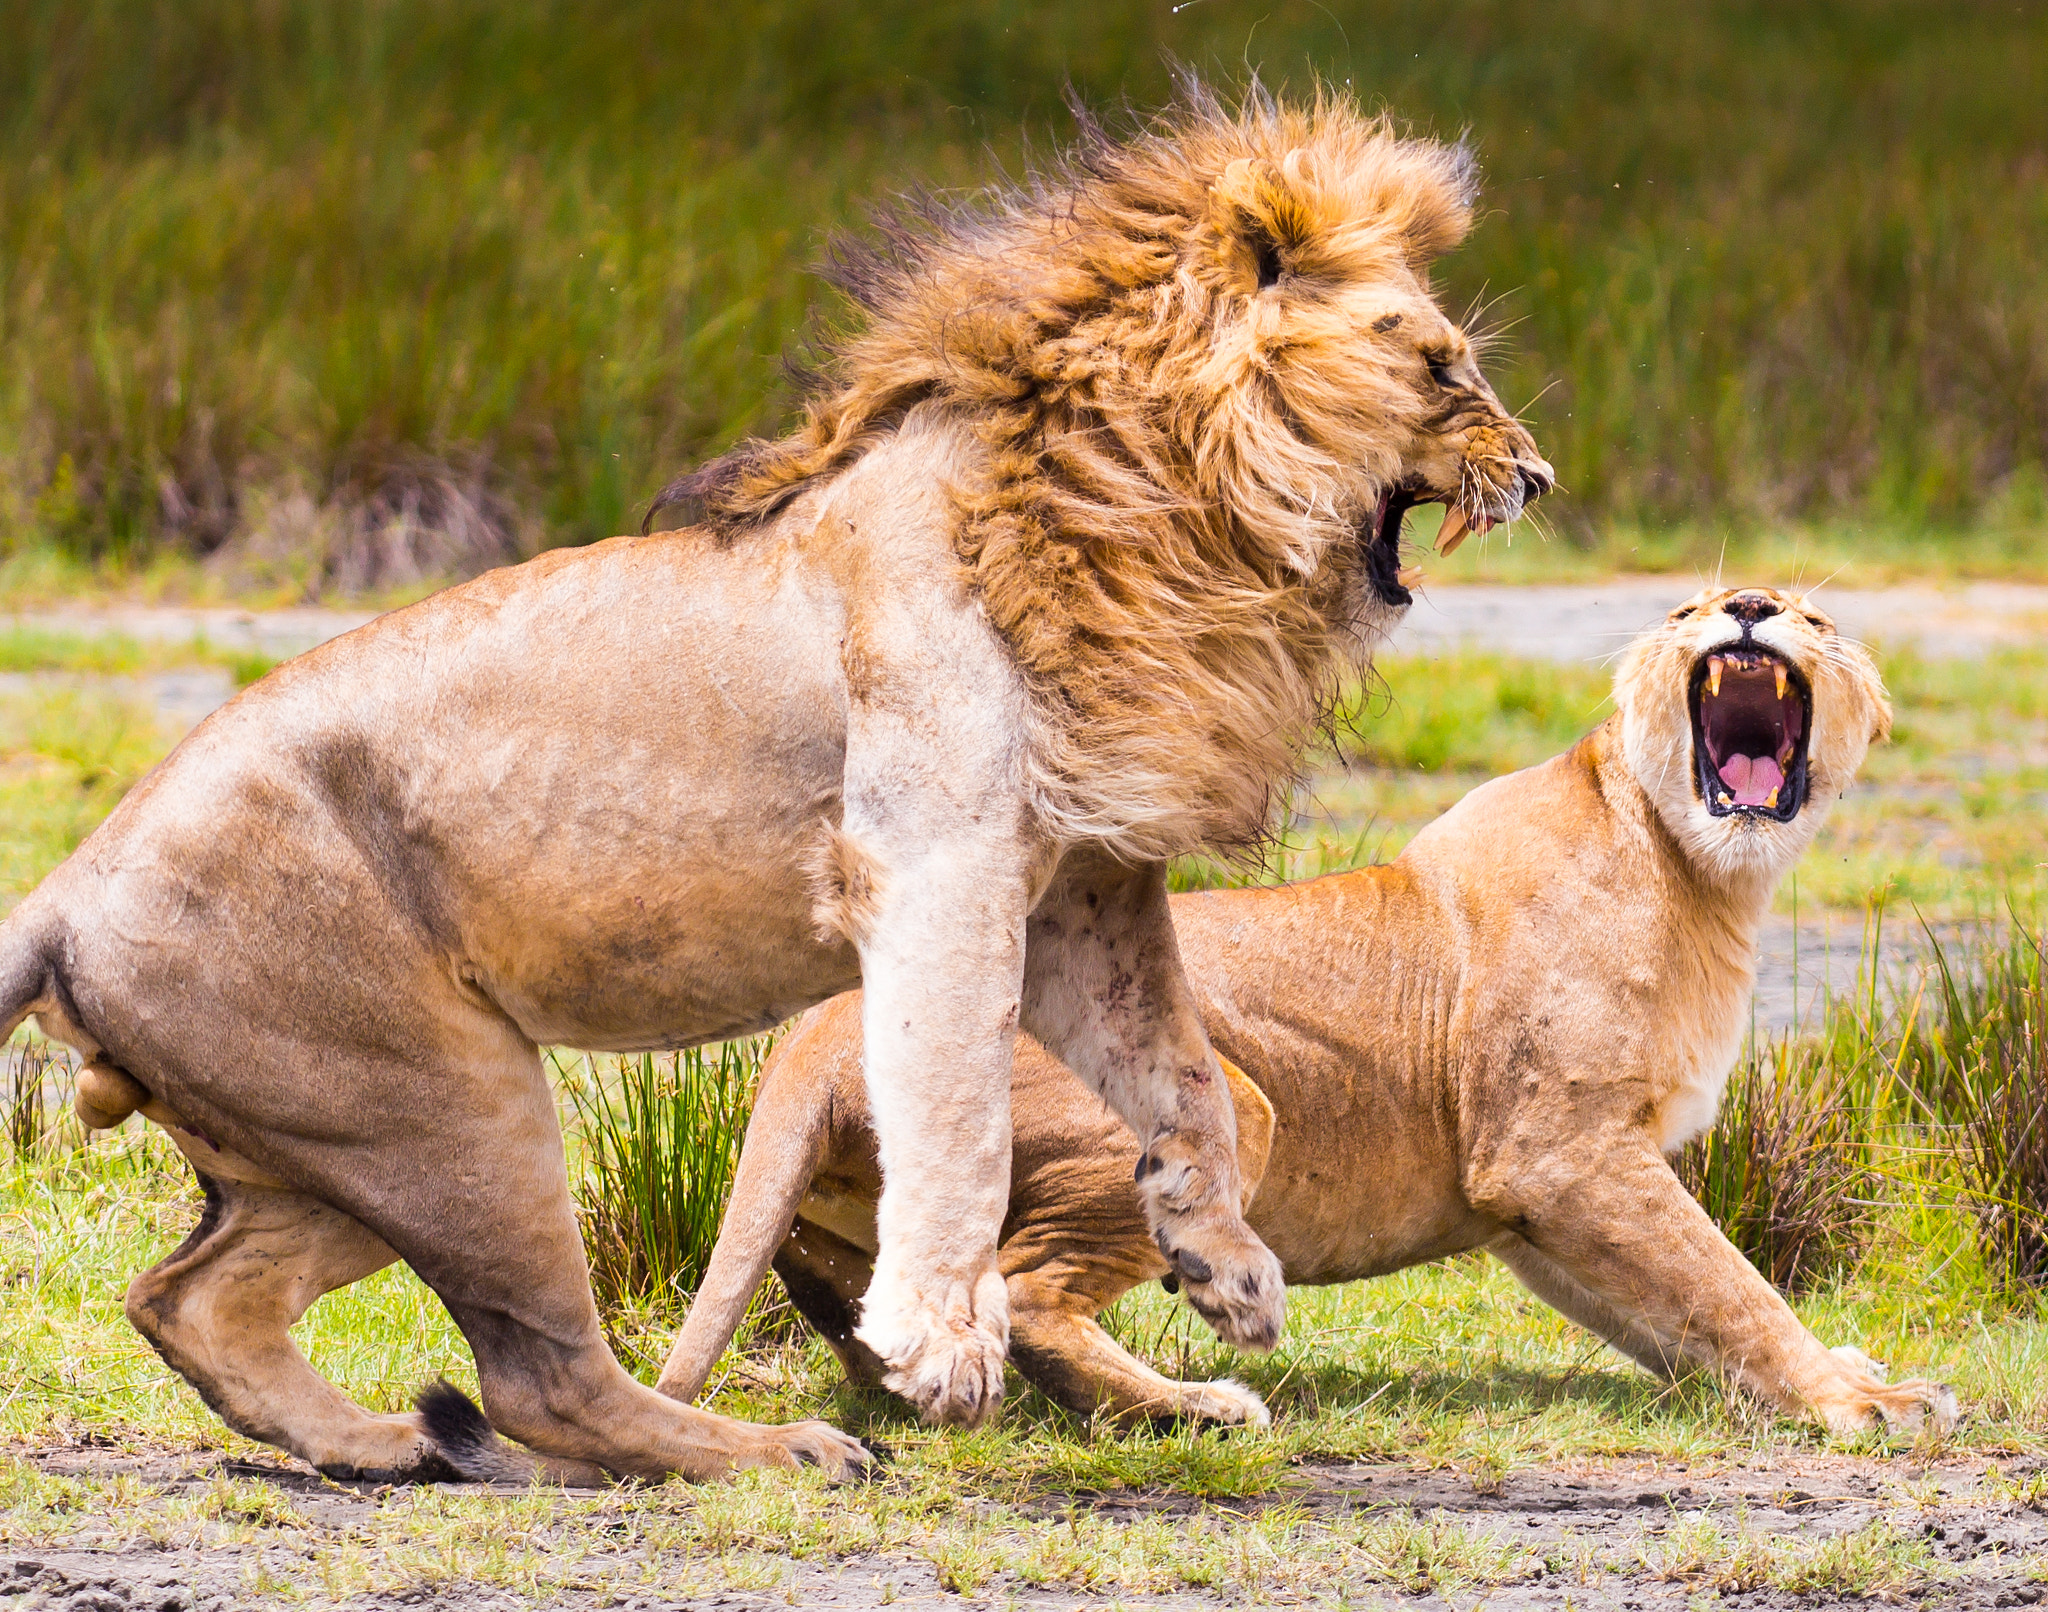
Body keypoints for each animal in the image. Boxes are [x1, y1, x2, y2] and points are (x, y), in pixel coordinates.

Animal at [0, 84, 1551, 1484]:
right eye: (1443, 367)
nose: (1534, 474)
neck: (1158, 516)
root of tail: (61, 893)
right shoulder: (936, 862)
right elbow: (955, 1106)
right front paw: (940, 1343)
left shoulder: (1081, 886)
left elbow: (1181, 1077)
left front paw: (1223, 1265)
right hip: (453, 1101)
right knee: (538, 1377)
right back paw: (779, 1449)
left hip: (329, 1145)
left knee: (195, 1298)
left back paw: (386, 1445)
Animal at [655, 587, 1961, 1440]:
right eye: (1689, 609)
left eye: (1814, 618)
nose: (1747, 605)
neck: (1707, 879)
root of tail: (813, 1037)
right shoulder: (1558, 1152)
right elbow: (1730, 1285)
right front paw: (1861, 1401)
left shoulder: (1525, 1199)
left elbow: (1672, 1316)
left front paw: (1806, 1384)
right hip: (1222, 1102)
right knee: (1022, 1296)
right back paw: (1202, 1407)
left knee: (878, 1321)